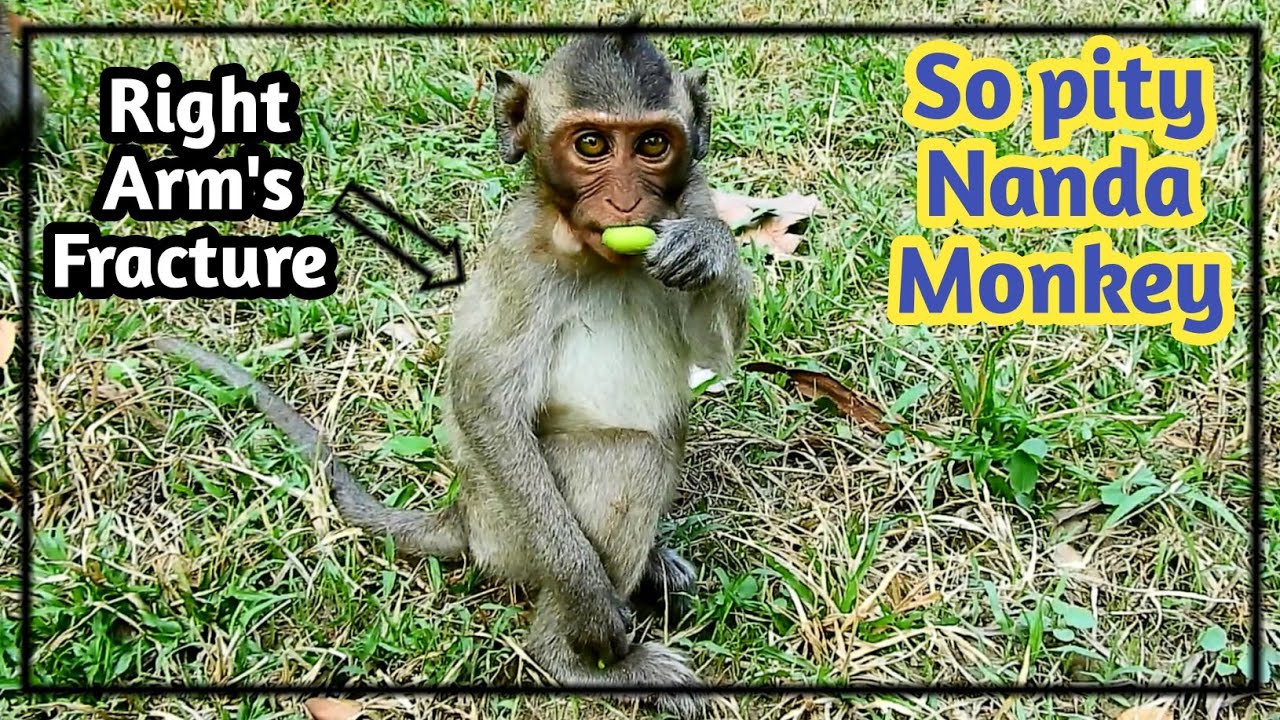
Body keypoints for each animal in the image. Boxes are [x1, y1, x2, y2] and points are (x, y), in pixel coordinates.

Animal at [155, 26, 750, 719]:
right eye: (592, 145)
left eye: (653, 144)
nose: (626, 200)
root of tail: (462, 514)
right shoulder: (523, 256)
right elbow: (485, 403)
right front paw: (586, 599)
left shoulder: (694, 197)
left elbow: (712, 350)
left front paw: (709, 248)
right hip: (508, 528)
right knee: (633, 457)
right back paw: (573, 656)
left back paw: (651, 567)